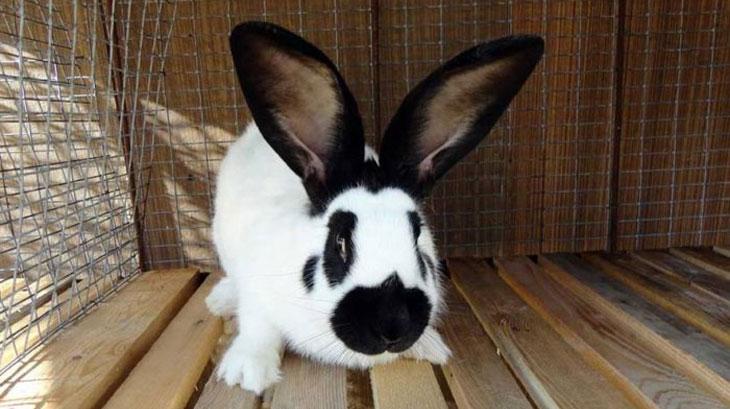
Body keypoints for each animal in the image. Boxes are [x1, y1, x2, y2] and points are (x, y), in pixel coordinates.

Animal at [206, 21, 544, 394]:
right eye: (339, 242)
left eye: (417, 239)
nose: (392, 326)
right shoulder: (258, 295)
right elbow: (258, 329)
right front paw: (246, 371)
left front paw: (429, 346)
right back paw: (220, 300)